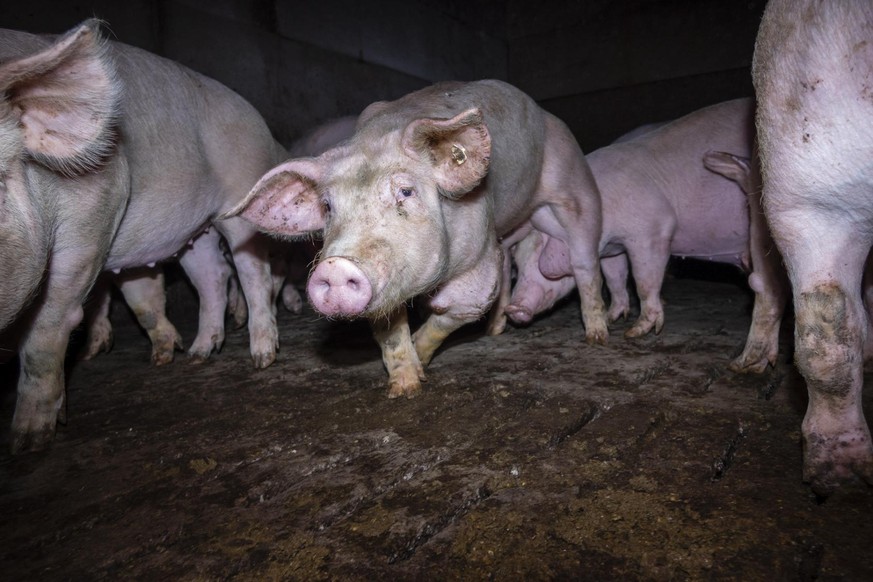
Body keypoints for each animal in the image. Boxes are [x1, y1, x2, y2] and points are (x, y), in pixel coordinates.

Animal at [0, 20, 282, 454]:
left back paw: (262, 357)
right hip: (194, 229)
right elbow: (140, 297)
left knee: (253, 273)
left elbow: (44, 334)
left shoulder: (97, 206)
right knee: (212, 276)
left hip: (242, 190)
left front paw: (28, 442)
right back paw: (198, 353)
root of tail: (255, 116)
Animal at [225, 80, 608, 400]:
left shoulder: (477, 261)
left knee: (585, 262)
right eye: (328, 206)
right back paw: (497, 329)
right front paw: (405, 388)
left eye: (406, 192)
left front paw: (422, 360)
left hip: (575, 188)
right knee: (509, 261)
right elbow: (391, 332)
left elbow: (454, 310)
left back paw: (597, 337)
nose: (335, 265)